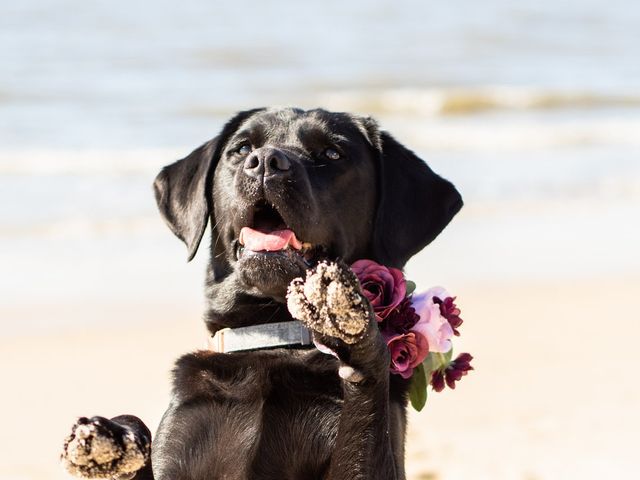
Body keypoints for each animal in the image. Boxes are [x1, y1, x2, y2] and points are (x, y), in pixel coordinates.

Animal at [61, 109, 460, 480]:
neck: (275, 338)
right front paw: (112, 438)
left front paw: (343, 314)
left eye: (332, 153)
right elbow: (134, 425)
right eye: (242, 149)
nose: (267, 161)